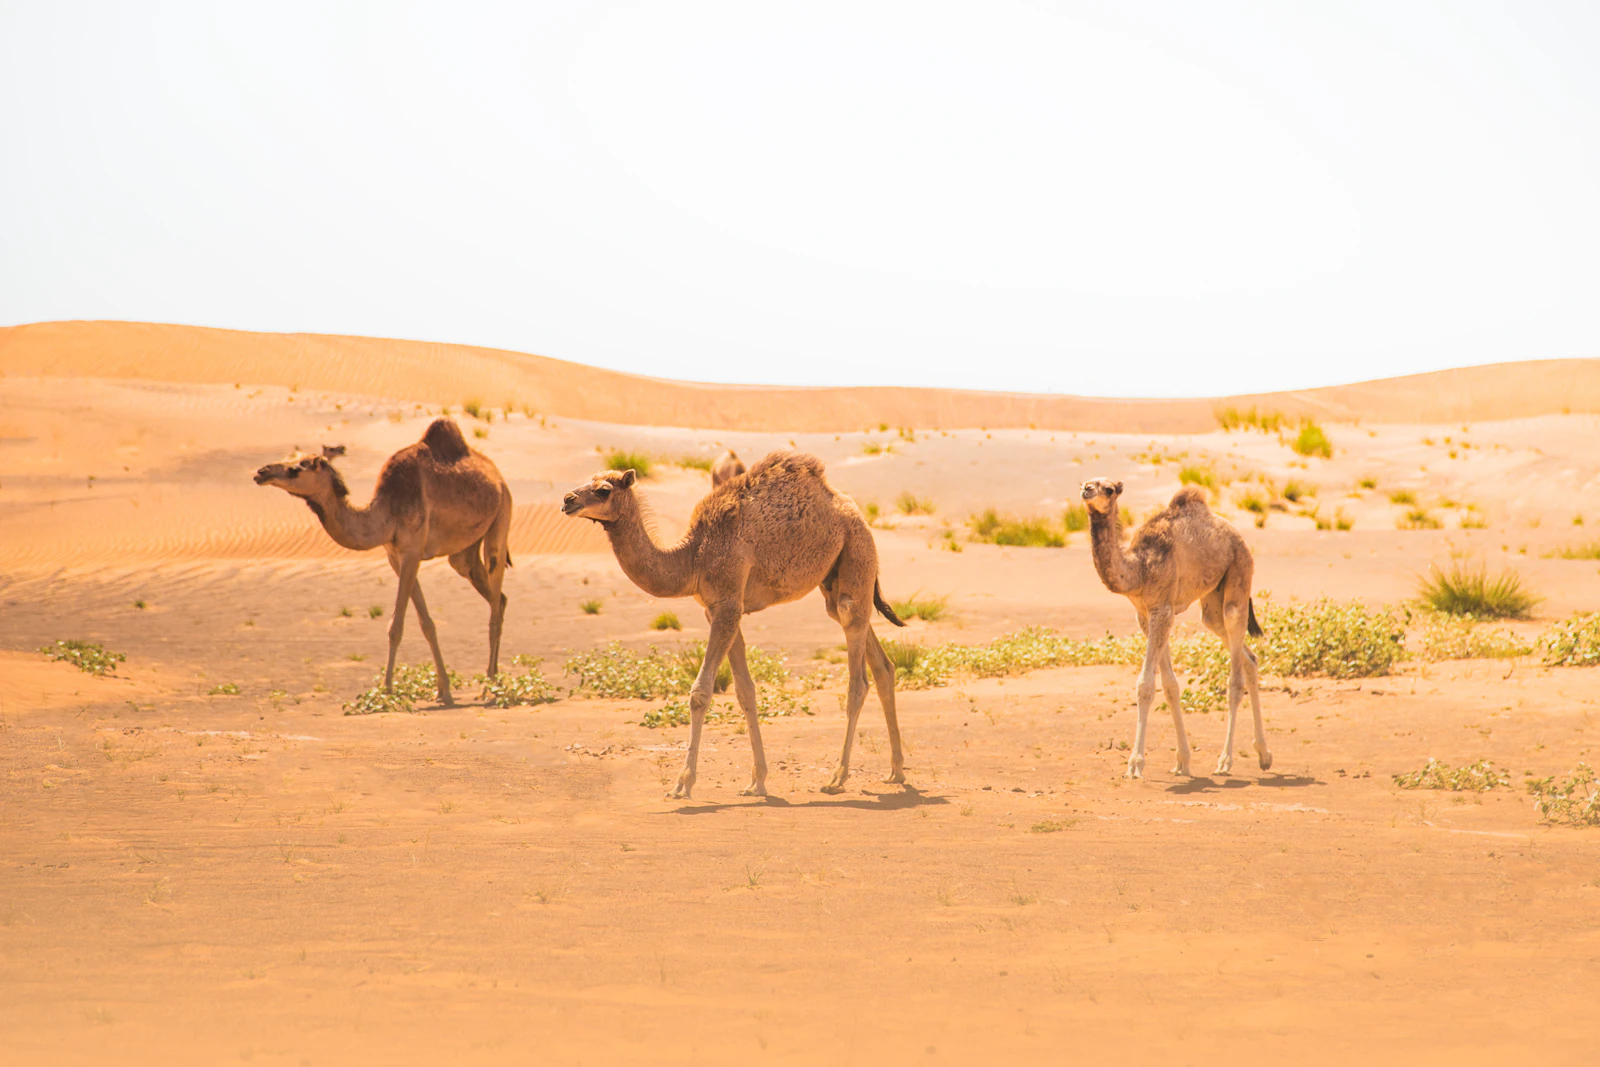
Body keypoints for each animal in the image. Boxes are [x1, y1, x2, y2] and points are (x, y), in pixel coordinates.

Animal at [254, 418, 514, 705]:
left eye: (295, 469)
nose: (261, 472)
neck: (386, 511)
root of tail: (497, 476)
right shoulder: (394, 556)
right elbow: (426, 624)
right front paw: (443, 691)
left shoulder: (412, 551)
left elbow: (396, 625)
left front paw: (386, 691)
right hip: (464, 552)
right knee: (497, 596)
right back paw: (492, 681)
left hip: (502, 515)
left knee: (494, 601)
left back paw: (491, 689)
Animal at [563, 451, 905, 799]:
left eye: (603, 490)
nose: (567, 500)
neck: (693, 557)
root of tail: (854, 511)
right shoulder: (718, 609)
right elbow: (745, 691)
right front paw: (757, 782)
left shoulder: (727, 603)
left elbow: (700, 692)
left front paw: (683, 784)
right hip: (833, 581)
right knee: (881, 663)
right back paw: (896, 771)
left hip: (857, 552)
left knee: (857, 677)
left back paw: (838, 777)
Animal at [1080, 478, 1272, 779]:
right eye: (1086, 481)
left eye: (1109, 489)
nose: (1087, 489)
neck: (1139, 569)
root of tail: (1236, 534)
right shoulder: (1146, 614)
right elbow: (1170, 685)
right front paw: (1182, 761)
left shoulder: (1162, 611)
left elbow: (1146, 685)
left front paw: (1135, 764)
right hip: (1212, 604)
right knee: (1248, 657)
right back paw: (1264, 755)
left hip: (1240, 572)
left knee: (1235, 676)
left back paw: (1225, 761)